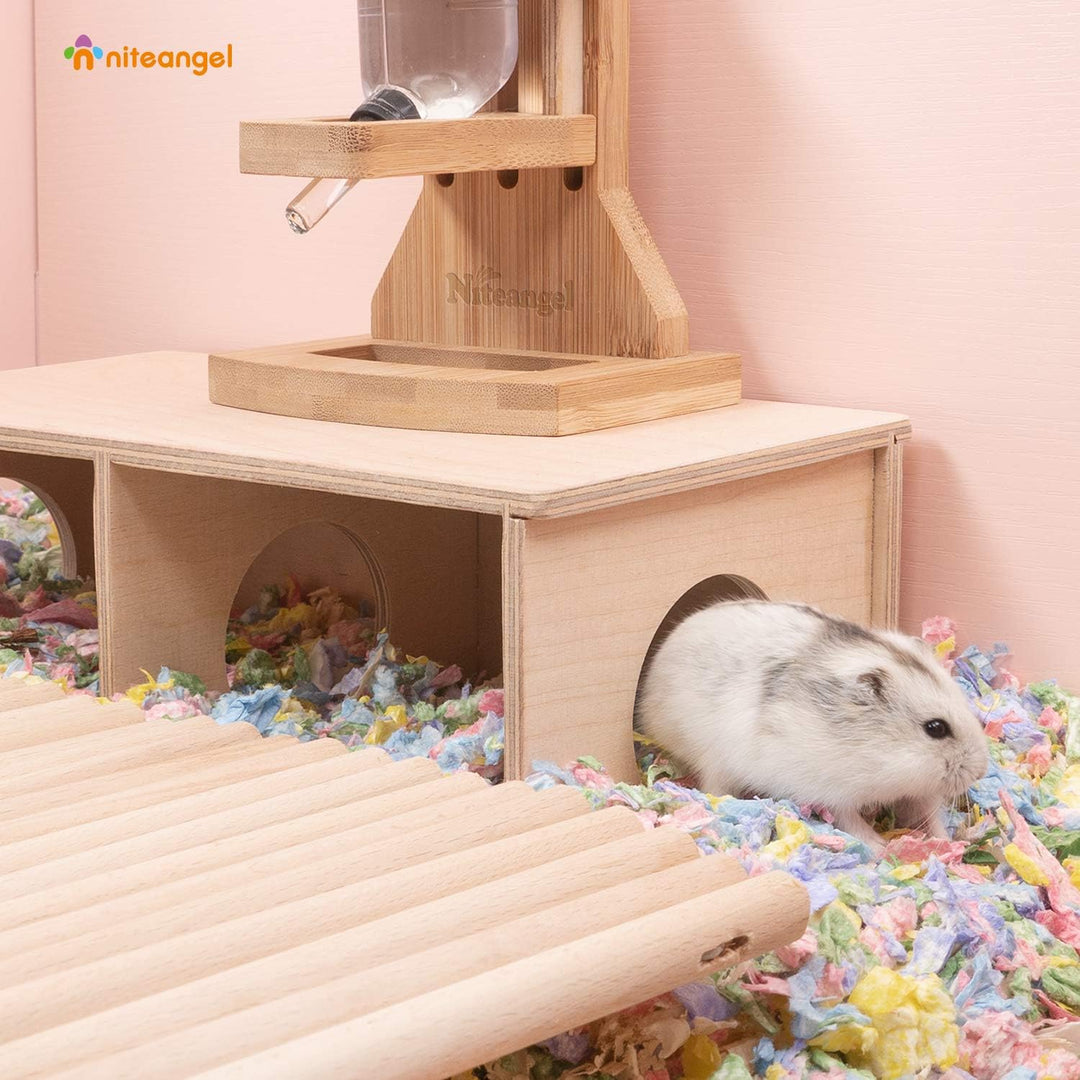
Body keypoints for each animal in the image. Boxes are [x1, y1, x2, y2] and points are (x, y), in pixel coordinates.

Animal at [635, 601, 989, 852]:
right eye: (935, 728)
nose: (981, 771)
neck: (877, 754)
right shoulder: (833, 791)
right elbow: (851, 821)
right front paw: (880, 847)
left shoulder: (918, 791)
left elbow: (929, 816)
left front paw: (950, 842)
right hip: (716, 762)